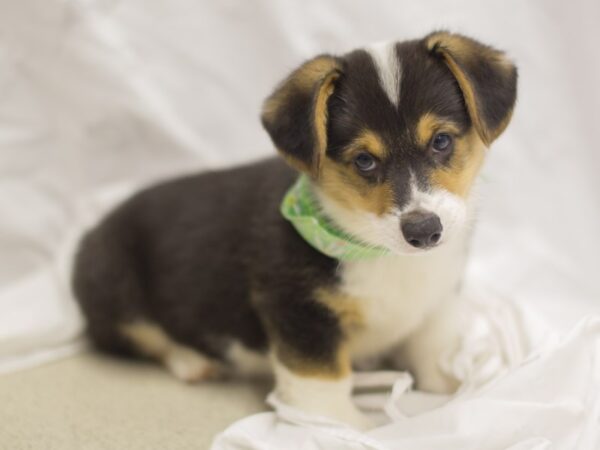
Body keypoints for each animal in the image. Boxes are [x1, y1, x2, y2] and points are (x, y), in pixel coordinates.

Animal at [72, 31, 516, 428]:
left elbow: (432, 346)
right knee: (142, 337)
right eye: (364, 161)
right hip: (112, 286)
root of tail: (96, 228)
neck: (376, 249)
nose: (423, 231)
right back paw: (193, 361)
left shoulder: (436, 300)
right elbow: (322, 378)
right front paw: (337, 427)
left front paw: (456, 389)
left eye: (441, 141)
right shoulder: (299, 310)